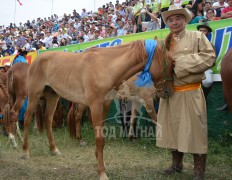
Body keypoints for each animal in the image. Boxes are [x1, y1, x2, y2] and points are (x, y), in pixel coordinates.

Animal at [22, 39, 174, 180]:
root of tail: (36, 60)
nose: (168, 92)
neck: (105, 67)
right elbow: (100, 139)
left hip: (53, 96)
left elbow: (102, 136)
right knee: (27, 119)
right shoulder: (95, 105)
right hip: (34, 95)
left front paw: (101, 162)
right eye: (171, 64)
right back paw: (25, 152)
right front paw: (102, 172)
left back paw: (54, 149)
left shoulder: (105, 104)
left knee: (48, 120)